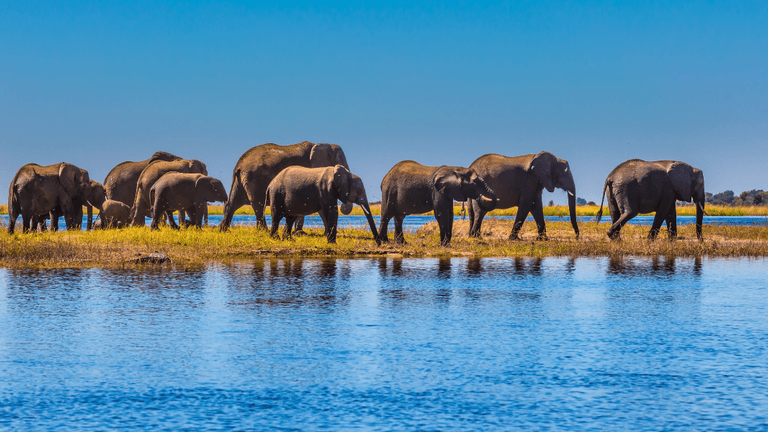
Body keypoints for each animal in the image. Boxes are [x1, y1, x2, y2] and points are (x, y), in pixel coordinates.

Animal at [220, 141, 353, 232]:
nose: (343, 206)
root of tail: (238, 166)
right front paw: (300, 233)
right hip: (253, 180)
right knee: (258, 205)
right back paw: (264, 231)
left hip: (240, 181)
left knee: (233, 204)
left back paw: (223, 230)